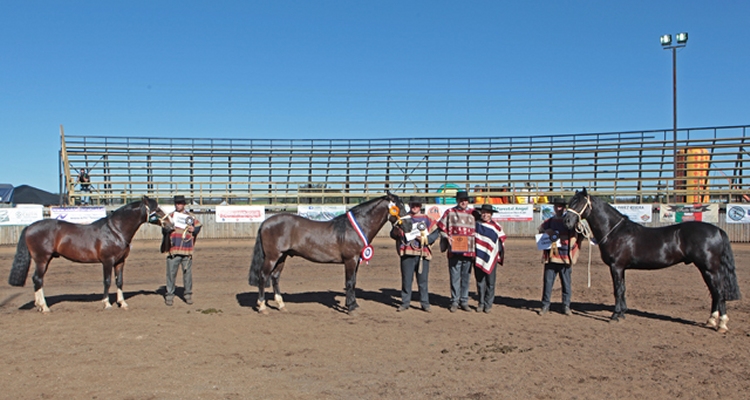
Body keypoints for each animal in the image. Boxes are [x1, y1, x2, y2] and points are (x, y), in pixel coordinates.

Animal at [8, 196, 173, 312]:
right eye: (157, 209)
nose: (171, 224)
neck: (115, 231)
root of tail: (30, 226)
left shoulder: (120, 262)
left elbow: (119, 281)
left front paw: (122, 303)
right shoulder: (107, 261)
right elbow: (107, 281)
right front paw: (107, 304)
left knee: (37, 280)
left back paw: (39, 305)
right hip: (42, 259)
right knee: (38, 279)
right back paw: (44, 307)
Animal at [248, 191, 414, 316]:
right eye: (399, 207)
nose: (409, 226)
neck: (354, 228)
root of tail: (265, 223)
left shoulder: (356, 261)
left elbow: (353, 282)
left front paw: (353, 304)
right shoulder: (350, 260)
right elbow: (349, 282)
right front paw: (351, 308)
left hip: (282, 257)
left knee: (275, 277)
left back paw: (281, 305)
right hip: (272, 257)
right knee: (263, 276)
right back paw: (262, 307)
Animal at [568, 189, 744, 332]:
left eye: (579, 202)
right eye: (570, 202)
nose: (566, 220)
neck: (615, 232)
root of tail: (718, 230)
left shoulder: (616, 267)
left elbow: (617, 290)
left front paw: (615, 315)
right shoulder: (621, 268)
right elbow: (622, 289)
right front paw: (623, 313)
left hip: (710, 269)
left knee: (719, 292)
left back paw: (721, 324)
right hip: (706, 269)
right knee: (715, 292)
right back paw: (711, 321)